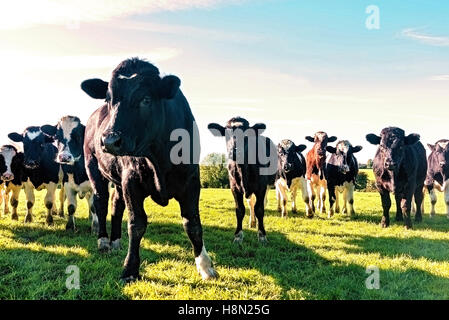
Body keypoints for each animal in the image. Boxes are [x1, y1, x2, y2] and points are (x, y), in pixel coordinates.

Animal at [80, 57, 217, 282]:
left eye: (146, 99)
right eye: (108, 99)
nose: (109, 140)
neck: (159, 157)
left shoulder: (191, 181)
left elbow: (193, 223)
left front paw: (205, 266)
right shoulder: (131, 181)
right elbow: (136, 224)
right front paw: (130, 269)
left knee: (116, 204)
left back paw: (115, 241)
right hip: (94, 169)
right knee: (100, 202)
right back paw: (104, 241)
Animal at [207, 116, 276, 244]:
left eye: (247, 134)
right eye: (226, 133)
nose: (235, 151)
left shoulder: (261, 187)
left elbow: (260, 209)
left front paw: (262, 235)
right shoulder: (234, 188)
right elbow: (240, 210)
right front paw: (238, 236)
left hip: (268, 185)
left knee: (261, 203)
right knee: (251, 203)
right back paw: (252, 223)